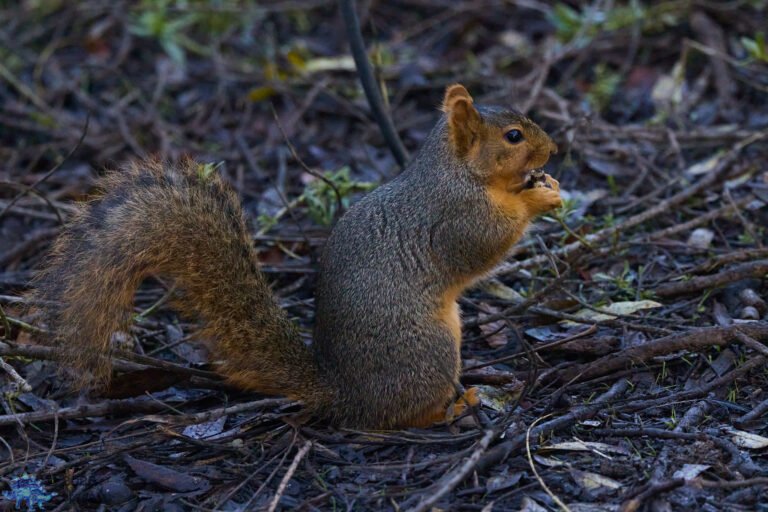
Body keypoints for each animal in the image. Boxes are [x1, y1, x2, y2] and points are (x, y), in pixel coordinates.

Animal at [32, 84, 561, 429]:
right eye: (513, 136)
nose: (553, 149)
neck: (457, 171)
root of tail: (344, 394)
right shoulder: (454, 217)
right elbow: (485, 243)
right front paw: (538, 199)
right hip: (427, 351)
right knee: (403, 417)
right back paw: (453, 407)